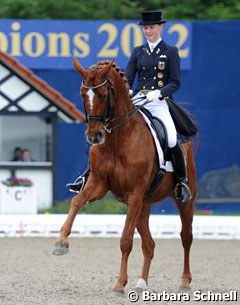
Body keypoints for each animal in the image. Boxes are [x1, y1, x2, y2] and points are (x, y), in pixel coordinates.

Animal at [53, 58, 198, 292]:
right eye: (82, 94)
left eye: (104, 95)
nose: (94, 136)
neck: (118, 138)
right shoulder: (99, 184)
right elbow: (77, 201)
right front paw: (61, 243)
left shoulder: (134, 194)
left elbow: (126, 241)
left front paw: (120, 283)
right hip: (144, 205)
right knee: (149, 244)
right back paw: (141, 282)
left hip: (182, 200)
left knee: (186, 236)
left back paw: (185, 280)